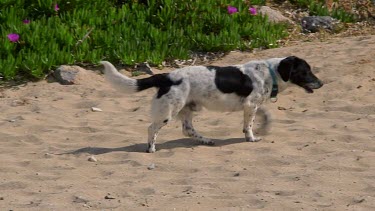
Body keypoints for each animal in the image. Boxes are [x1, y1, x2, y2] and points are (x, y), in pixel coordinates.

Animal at [100, 55, 324, 153]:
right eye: (306, 71)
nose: (321, 83)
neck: (270, 72)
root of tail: (166, 76)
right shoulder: (251, 104)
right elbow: (250, 125)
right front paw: (251, 138)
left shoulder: (250, 105)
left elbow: (261, 116)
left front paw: (263, 126)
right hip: (169, 110)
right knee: (151, 128)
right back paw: (151, 148)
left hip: (188, 108)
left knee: (188, 130)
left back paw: (206, 140)